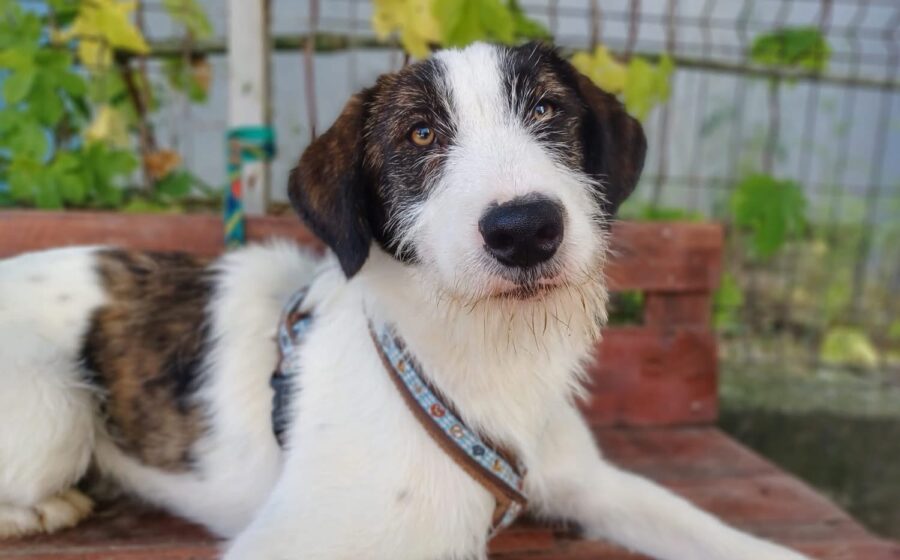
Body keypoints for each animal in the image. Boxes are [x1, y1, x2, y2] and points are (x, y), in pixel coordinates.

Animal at [0, 42, 810, 560]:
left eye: (548, 111)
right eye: (419, 133)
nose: (525, 229)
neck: (483, 354)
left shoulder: (590, 482)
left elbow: (707, 529)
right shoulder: (293, 542)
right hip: (56, 408)